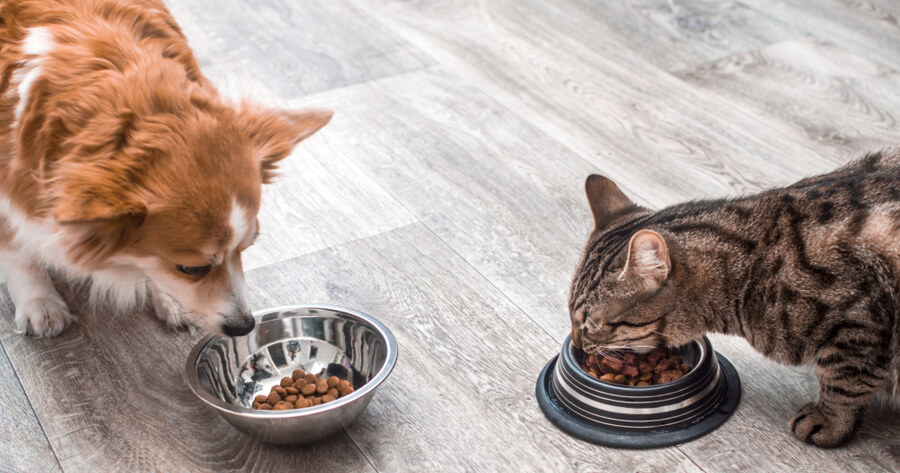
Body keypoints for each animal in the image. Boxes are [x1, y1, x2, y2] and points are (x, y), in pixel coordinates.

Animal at [0, 0, 332, 336]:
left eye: (246, 248)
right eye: (191, 268)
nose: (244, 326)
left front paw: (168, 298)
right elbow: (16, 250)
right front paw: (39, 301)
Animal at [568, 148, 900, 446]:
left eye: (590, 325)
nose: (576, 343)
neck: (751, 272)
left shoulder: (860, 326)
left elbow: (845, 381)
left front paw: (828, 421)